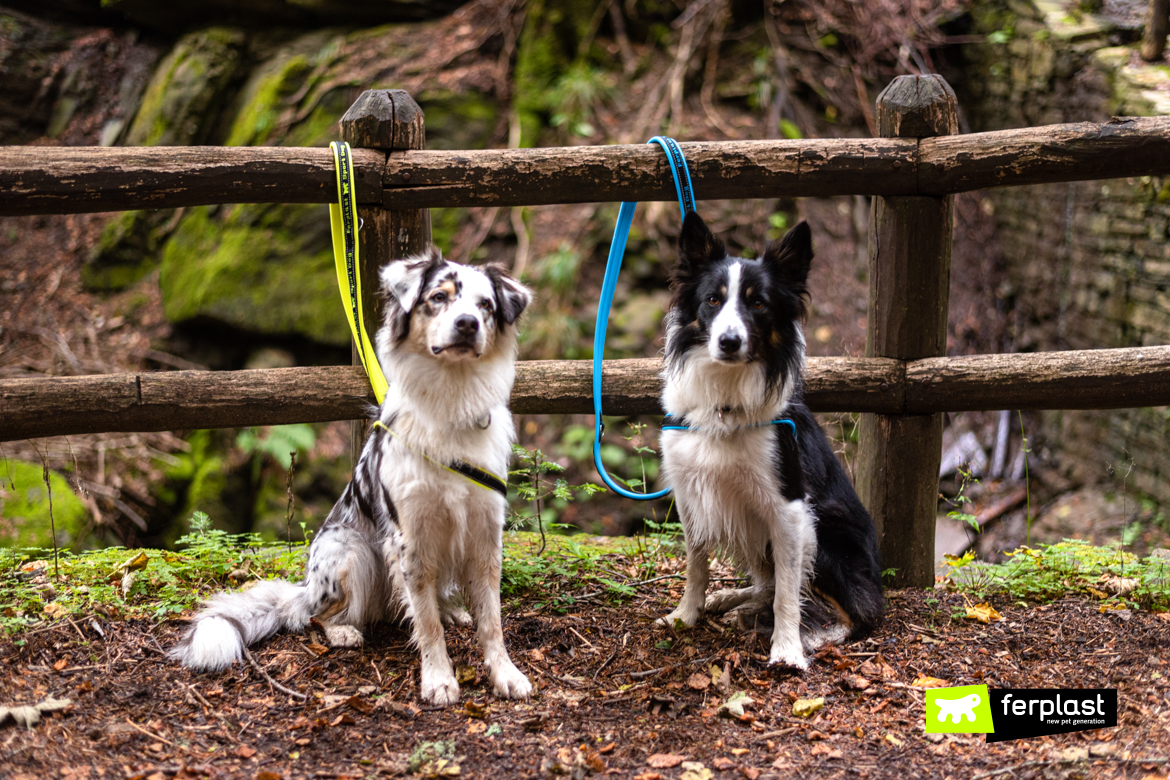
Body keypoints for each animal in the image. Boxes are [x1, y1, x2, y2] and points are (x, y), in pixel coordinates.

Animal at [170, 250, 535, 706]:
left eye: (485, 305)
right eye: (438, 296)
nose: (468, 323)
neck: (451, 401)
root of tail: (305, 588)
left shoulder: (485, 531)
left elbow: (492, 619)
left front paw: (504, 673)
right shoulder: (408, 537)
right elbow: (426, 624)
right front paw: (438, 679)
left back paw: (448, 608)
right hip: (349, 549)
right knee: (316, 616)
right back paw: (342, 628)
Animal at [664, 214, 879, 673]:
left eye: (759, 304)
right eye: (712, 300)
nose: (728, 341)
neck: (726, 403)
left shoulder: (790, 508)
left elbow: (788, 595)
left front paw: (787, 648)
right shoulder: (693, 495)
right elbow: (696, 566)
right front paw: (686, 615)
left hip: (825, 533)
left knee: (856, 612)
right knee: (767, 582)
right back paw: (734, 600)